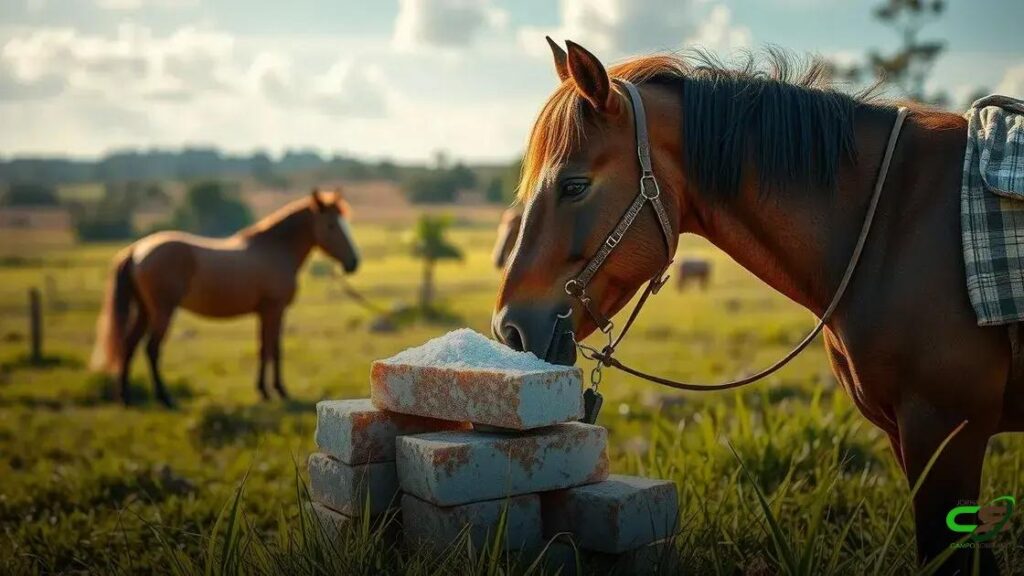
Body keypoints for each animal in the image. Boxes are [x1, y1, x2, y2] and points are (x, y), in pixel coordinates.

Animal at [91, 189, 359, 407]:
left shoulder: (265, 312)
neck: (274, 249)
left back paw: (126, 398)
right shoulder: (274, 309)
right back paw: (166, 399)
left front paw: (266, 390)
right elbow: (273, 349)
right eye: (332, 226)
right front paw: (277, 391)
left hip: (146, 311)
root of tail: (136, 249)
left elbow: (266, 347)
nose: (354, 263)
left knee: (129, 345)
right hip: (163, 311)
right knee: (152, 349)